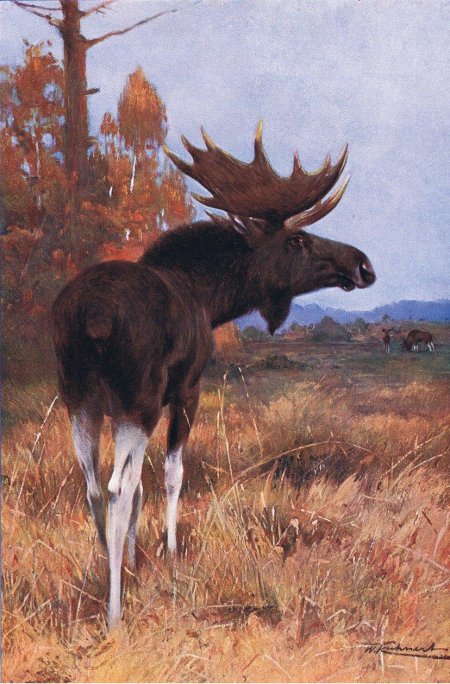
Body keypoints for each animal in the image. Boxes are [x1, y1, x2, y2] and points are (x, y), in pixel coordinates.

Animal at [52, 122, 376, 628]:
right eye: (298, 241)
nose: (363, 265)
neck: (210, 297)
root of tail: (92, 317)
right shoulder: (186, 390)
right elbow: (169, 475)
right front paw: (167, 555)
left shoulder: (114, 404)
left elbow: (141, 487)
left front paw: (132, 563)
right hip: (138, 399)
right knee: (117, 488)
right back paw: (114, 613)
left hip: (79, 397)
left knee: (92, 487)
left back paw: (104, 579)